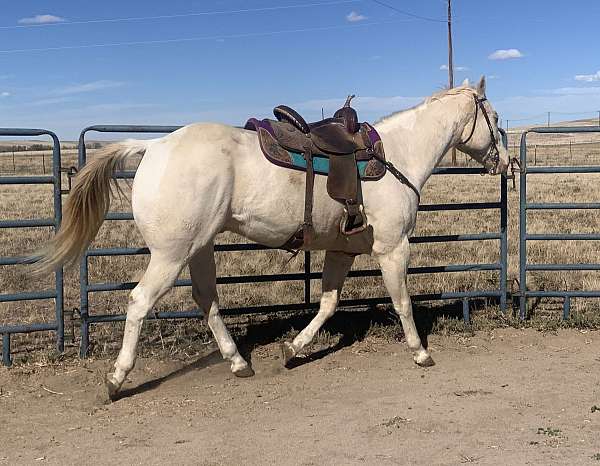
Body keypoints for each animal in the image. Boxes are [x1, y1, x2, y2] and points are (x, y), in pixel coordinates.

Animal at [35, 76, 508, 396]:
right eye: (496, 118)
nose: (504, 161)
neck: (396, 156)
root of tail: (153, 147)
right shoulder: (394, 248)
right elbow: (403, 302)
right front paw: (419, 352)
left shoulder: (342, 250)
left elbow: (328, 304)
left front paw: (293, 349)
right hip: (171, 254)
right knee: (139, 302)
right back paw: (117, 378)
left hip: (199, 249)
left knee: (207, 302)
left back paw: (237, 362)